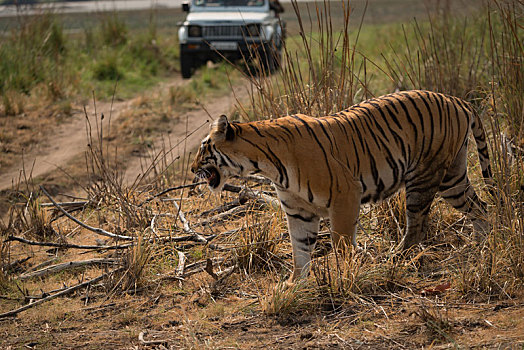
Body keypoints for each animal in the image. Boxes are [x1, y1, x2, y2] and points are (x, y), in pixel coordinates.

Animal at [190, 89, 494, 282]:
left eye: (204, 149)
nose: (192, 169)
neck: (265, 163)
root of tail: (456, 100)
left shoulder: (345, 195)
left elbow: (341, 243)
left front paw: (350, 270)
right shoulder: (299, 211)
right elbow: (300, 250)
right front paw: (293, 285)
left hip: (425, 177)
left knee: (418, 225)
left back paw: (396, 257)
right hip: (452, 178)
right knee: (480, 207)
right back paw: (483, 244)